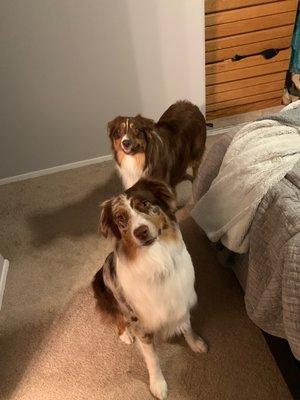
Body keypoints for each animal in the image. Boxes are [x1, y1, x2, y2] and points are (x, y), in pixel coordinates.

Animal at [92, 179, 207, 400]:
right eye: (121, 218)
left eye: (145, 203)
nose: (141, 232)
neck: (157, 261)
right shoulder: (141, 324)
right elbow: (152, 359)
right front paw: (158, 384)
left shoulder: (181, 299)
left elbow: (187, 326)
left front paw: (195, 343)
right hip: (107, 292)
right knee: (119, 318)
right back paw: (125, 335)